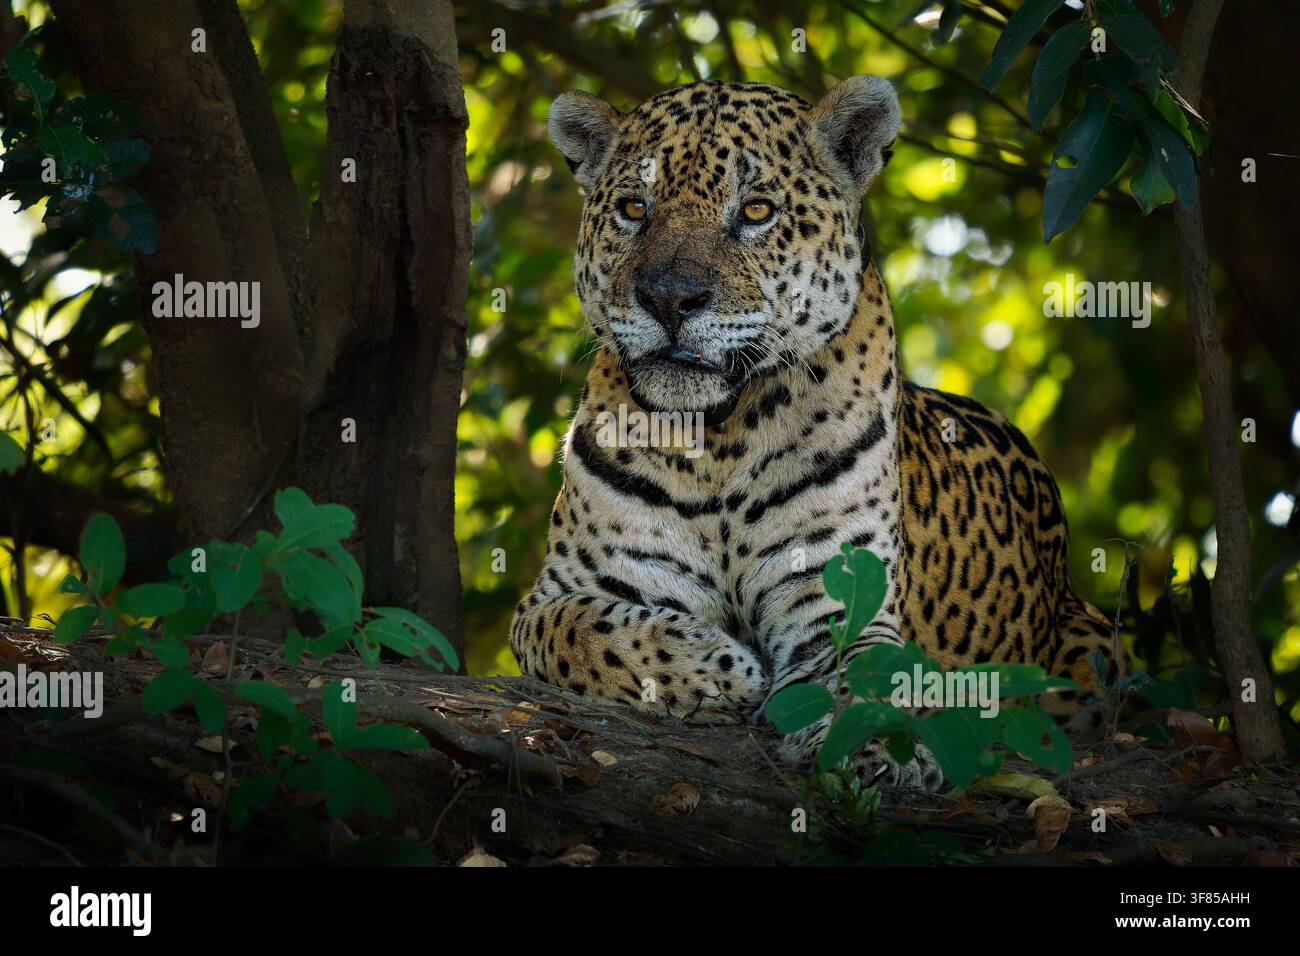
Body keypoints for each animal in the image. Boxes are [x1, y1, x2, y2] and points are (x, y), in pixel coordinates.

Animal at [510, 75, 1126, 791]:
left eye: (755, 211)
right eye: (635, 208)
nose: (668, 298)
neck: (717, 440)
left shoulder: (840, 596)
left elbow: (870, 674)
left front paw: (878, 745)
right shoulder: (556, 595)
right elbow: (587, 632)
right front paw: (718, 666)